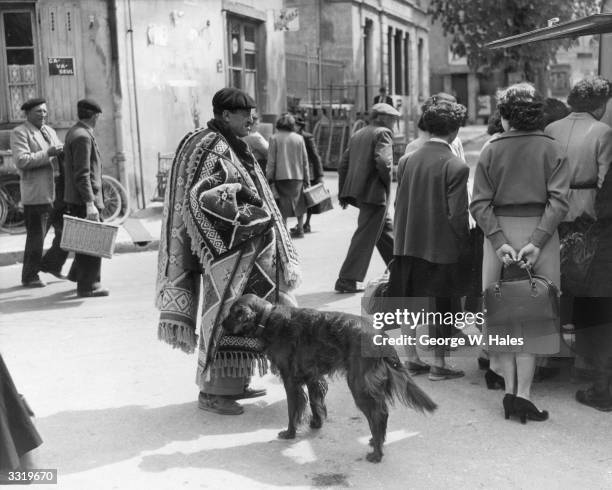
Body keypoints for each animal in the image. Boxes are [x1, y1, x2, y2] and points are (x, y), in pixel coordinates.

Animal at [222, 294, 438, 464]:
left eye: (232, 313)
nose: (221, 325)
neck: (268, 320)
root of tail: (381, 337)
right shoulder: (312, 375)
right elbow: (315, 403)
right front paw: (316, 424)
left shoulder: (290, 379)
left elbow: (293, 409)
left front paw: (290, 433)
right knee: (380, 414)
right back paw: (376, 441)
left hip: (358, 384)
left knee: (378, 414)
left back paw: (377, 453)